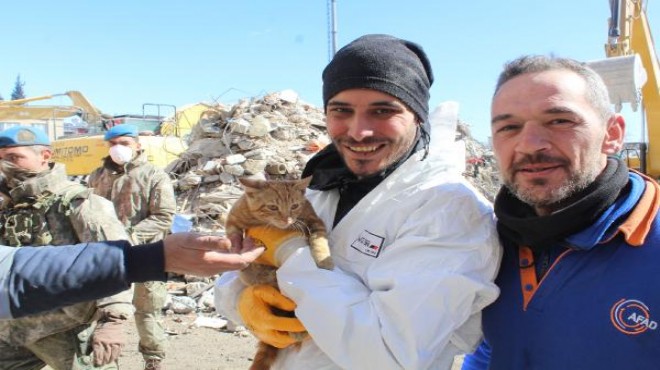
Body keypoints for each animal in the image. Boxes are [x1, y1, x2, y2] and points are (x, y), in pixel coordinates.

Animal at [224, 176, 332, 370]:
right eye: (273, 207)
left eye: (294, 206)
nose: (286, 220)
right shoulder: (234, 217)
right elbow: (234, 240)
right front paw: (243, 262)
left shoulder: (313, 220)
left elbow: (319, 240)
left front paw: (324, 259)